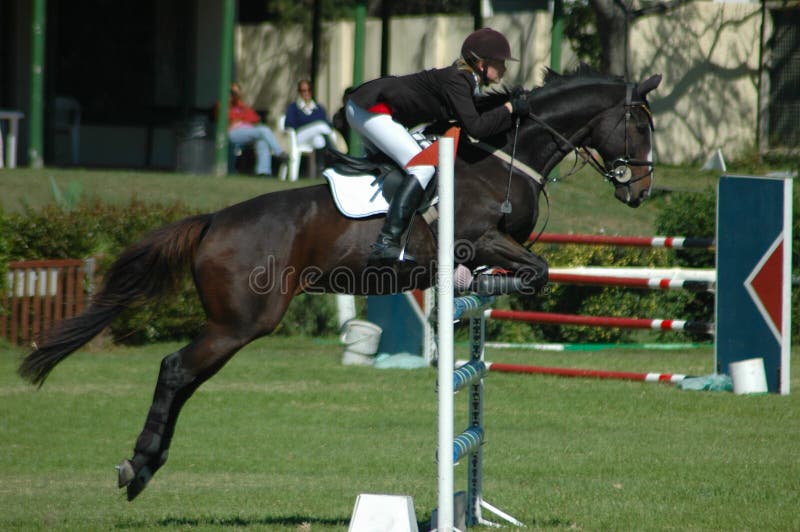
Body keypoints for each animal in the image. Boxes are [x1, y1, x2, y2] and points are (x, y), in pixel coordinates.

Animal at [18, 66, 664, 498]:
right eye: (638, 124)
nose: (641, 191)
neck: (504, 158)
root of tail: (213, 221)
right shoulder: (480, 239)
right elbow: (535, 272)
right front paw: (488, 287)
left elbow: (529, 271)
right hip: (242, 321)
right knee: (176, 370)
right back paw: (138, 466)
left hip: (234, 324)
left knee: (185, 377)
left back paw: (145, 465)